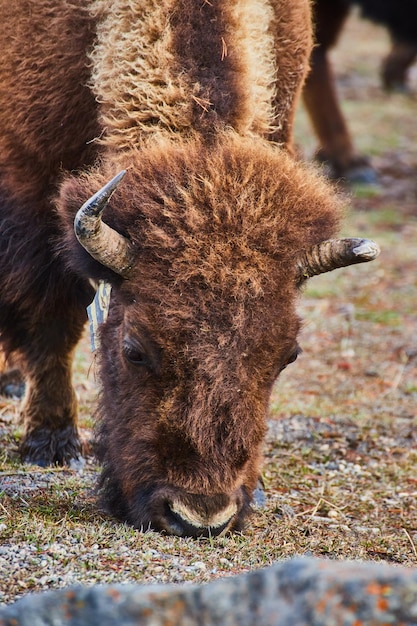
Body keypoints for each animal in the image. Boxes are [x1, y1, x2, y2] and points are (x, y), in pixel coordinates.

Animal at [0, 1, 376, 536]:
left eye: (289, 355)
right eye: (133, 350)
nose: (199, 514)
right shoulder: (29, 177)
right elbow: (54, 316)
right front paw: (50, 443)